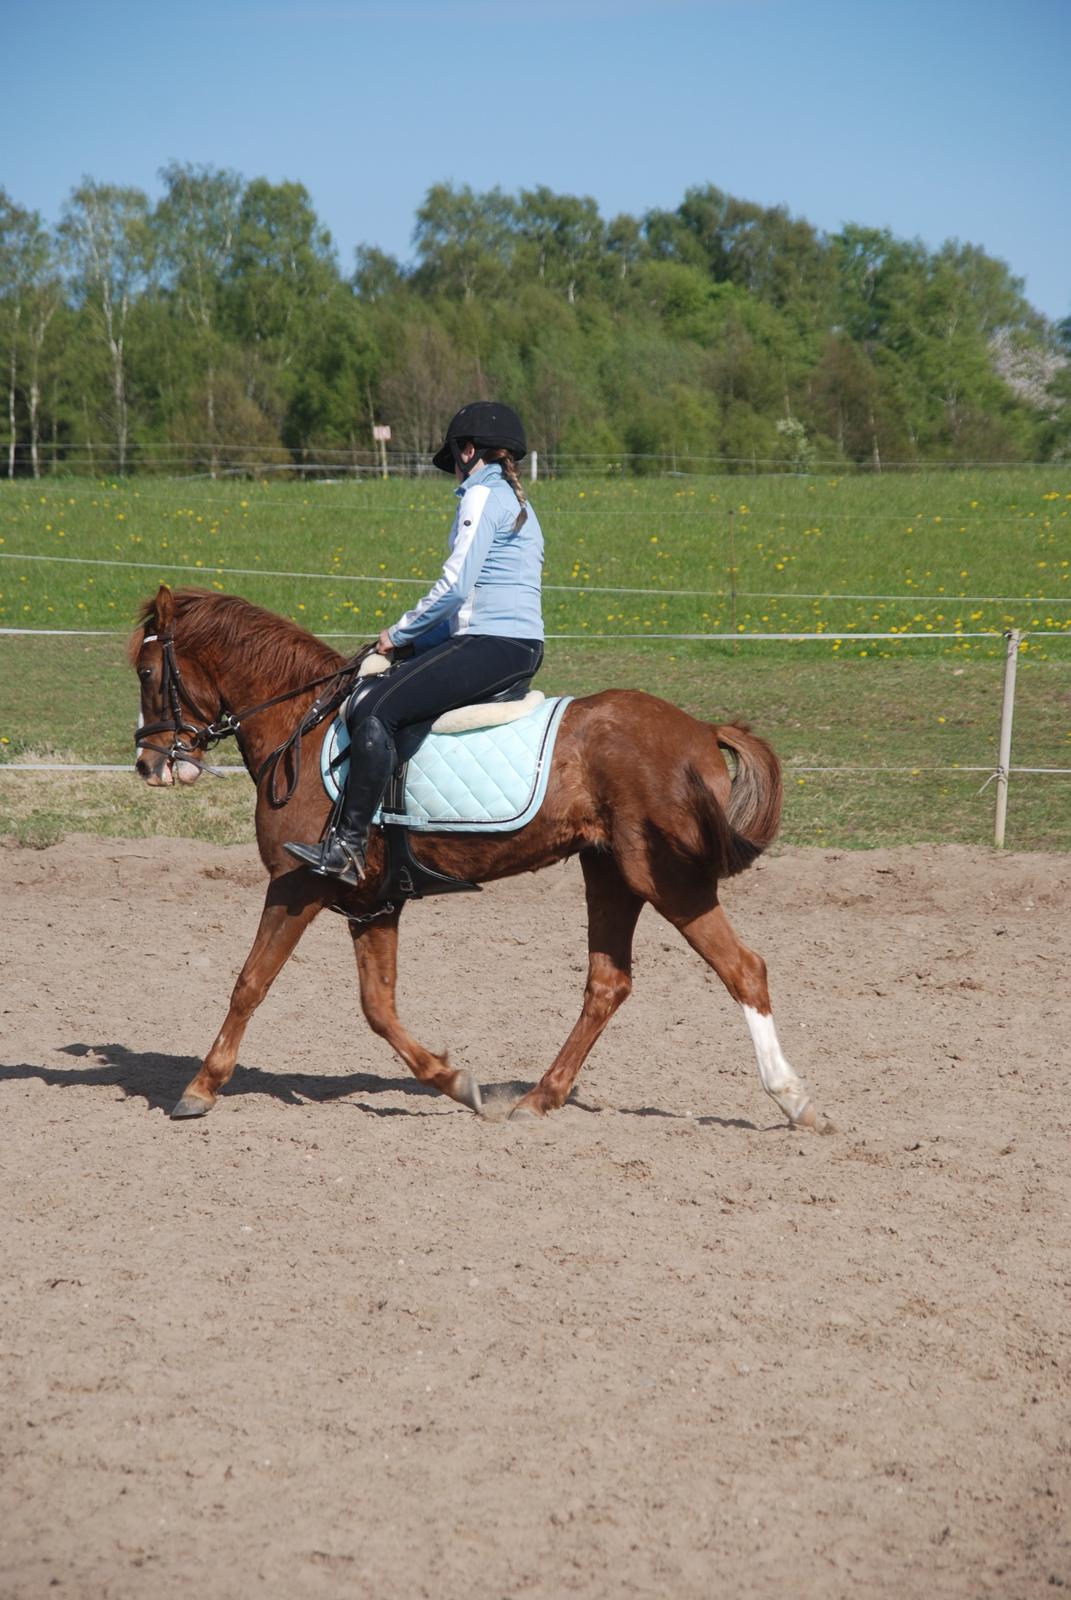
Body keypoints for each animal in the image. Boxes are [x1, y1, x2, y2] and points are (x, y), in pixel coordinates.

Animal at [127, 582, 826, 1132]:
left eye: (146, 672)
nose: (148, 764)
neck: (305, 723)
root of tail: (701, 729)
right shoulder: (373, 904)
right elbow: (378, 1008)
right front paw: (458, 1083)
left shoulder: (299, 884)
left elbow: (250, 983)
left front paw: (200, 1088)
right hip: (610, 874)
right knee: (608, 983)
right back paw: (539, 1098)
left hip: (668, 879)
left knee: (743, 969)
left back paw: (795, 1102)